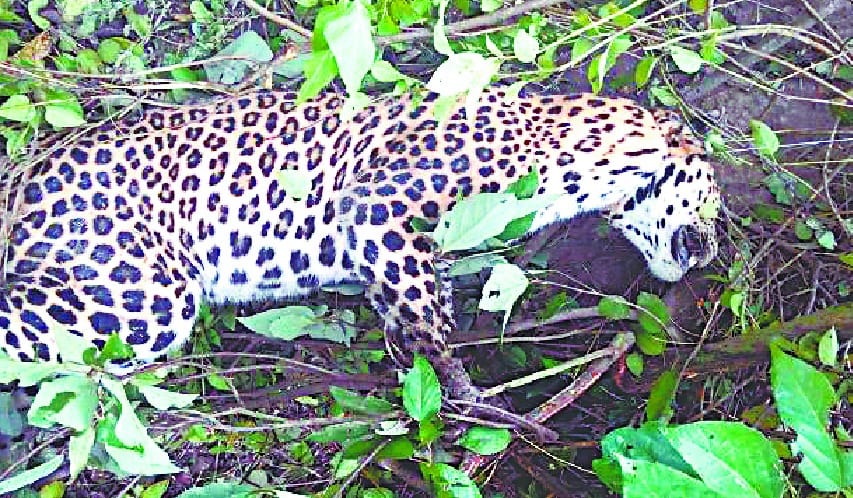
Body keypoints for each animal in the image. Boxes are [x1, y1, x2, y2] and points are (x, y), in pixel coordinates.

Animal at [0, 87, 719, 401]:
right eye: (715, 190)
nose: (715, 252)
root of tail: (27, 168)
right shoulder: (377, 205)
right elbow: (427, 312)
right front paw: (460, 394)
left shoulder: (393, 240)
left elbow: (411, 300)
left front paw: (415, 369)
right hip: (141, 294)